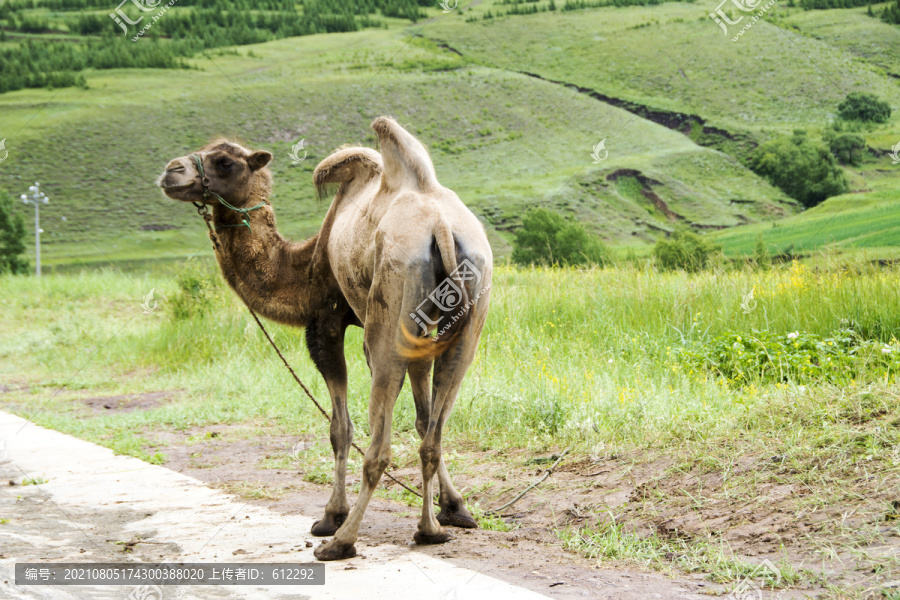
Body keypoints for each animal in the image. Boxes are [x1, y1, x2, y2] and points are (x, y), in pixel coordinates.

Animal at [156, 118, 492, 564]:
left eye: (226, 161)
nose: (171, 171)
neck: (305, 260)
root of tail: (439, 225)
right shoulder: (425, 333)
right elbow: (423, 422)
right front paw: (453, 509)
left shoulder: (324, 324)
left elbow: (340, 428)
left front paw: (331, 515)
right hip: (470, 308)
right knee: (433, 435)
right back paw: (428, 532)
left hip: (389, 315)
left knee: (378, 446)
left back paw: (342, 541)